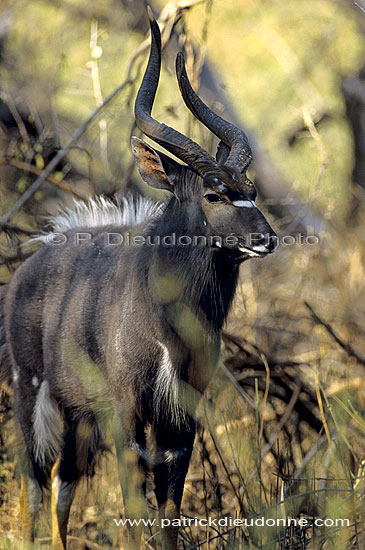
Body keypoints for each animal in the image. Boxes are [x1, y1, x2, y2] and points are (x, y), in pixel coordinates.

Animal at [0, 8, 276, 550]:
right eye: (214, 193)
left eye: (250, 190)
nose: (267, 239)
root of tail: (28, 264)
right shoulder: (126, 408)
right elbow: (132, 509)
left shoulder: (182, 416)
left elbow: (169, 510)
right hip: (32, 396)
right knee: (34, 488)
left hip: (77, 418)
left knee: (62, 486)